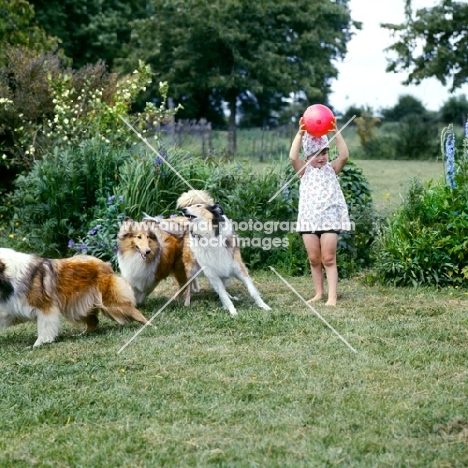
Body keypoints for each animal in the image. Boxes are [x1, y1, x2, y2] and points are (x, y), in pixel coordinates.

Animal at [0, 247, 150, 346]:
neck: (8, 274)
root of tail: (106, 264)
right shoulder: (13, 307)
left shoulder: (45, 307)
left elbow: (44, 327)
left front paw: (39, 344)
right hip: (78, 307)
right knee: (94, 321)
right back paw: (81, 335)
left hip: (111, 303)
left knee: (134, 312)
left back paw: (150, 326)